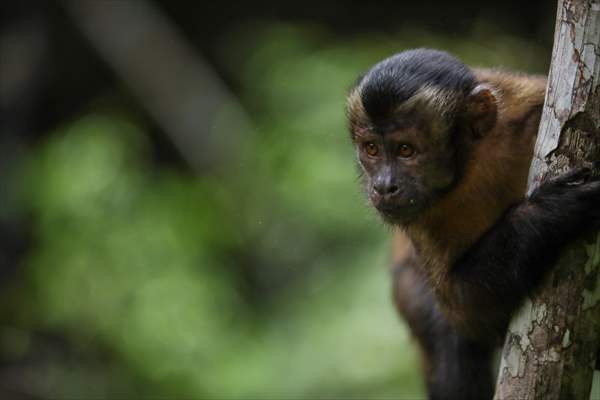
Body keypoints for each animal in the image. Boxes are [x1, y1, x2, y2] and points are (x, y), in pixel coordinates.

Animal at [344, 48, 600, 398]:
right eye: (371, 149)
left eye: (405, 150)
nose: (383, 186)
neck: (475, 162)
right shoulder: (422, 219)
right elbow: (465, 310)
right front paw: (550, 211)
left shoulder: (526, 106)